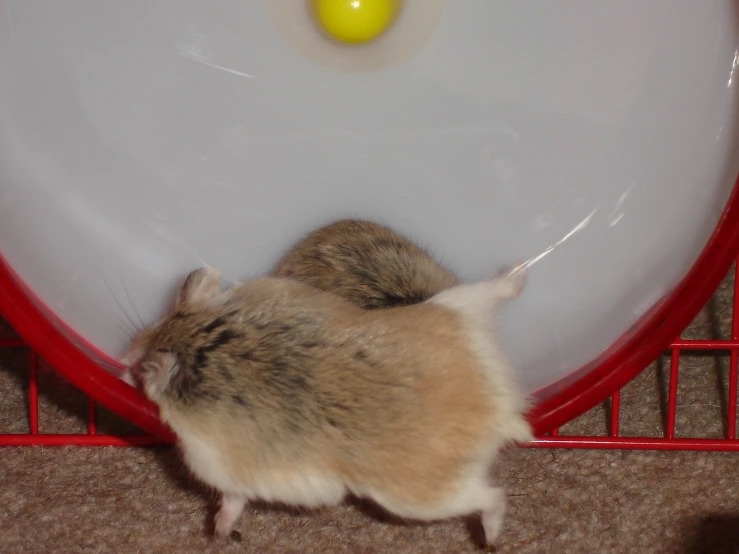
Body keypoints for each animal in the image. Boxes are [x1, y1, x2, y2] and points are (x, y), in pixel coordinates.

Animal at [124, 264, 536, 548]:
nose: (130, 358)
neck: (197, 344)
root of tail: (499, 404)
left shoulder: (219, 470)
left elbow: (232, 501)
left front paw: (219, 532)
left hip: (419, 498)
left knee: (493, 497)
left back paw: (490, 538)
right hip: (456, 308)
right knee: (493, 291)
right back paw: (519, 273)